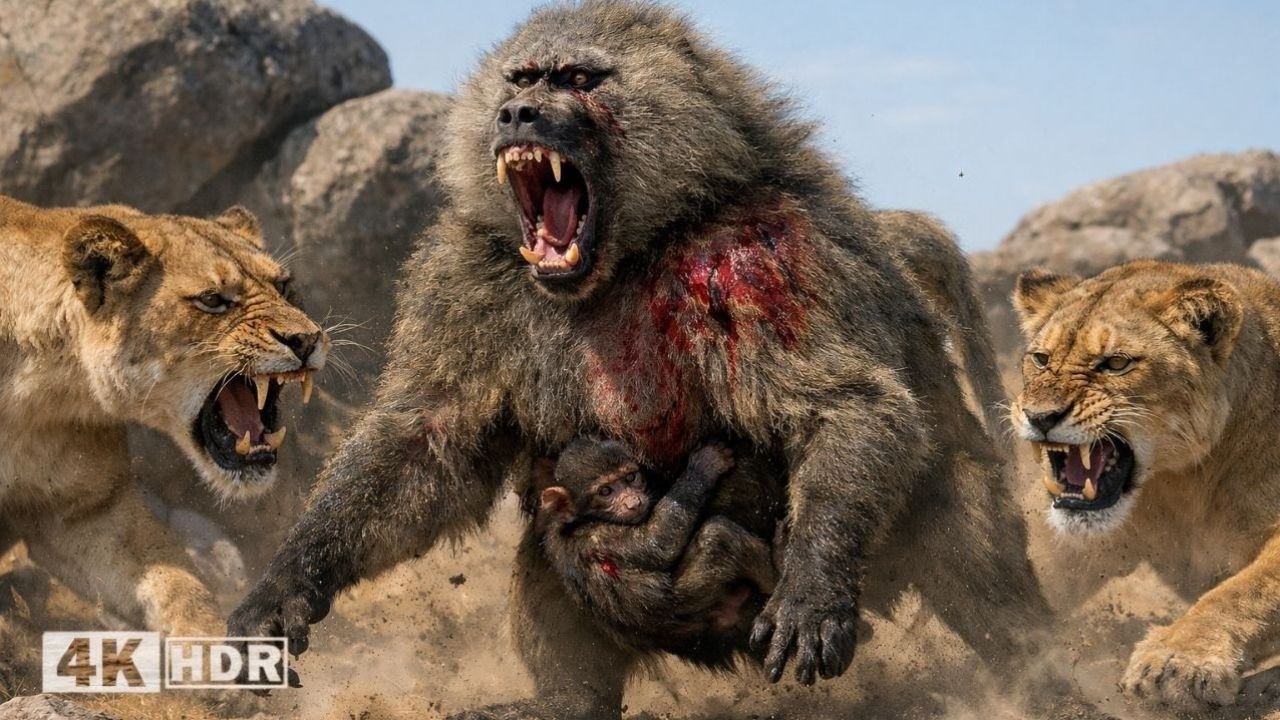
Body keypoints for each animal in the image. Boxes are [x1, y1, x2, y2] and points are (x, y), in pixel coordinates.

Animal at [0, 194, 328, 636]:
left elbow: (180, 585)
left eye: (283, 286)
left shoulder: (87, 510)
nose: (306, 339)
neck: (35, 395)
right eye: (213, 300)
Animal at [1012, 258, 1280, 708]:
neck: (1187, 479)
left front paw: (1177, 660)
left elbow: (1243, 591)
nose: (1039, 416)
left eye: (1116, 364)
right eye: (1041, 359)